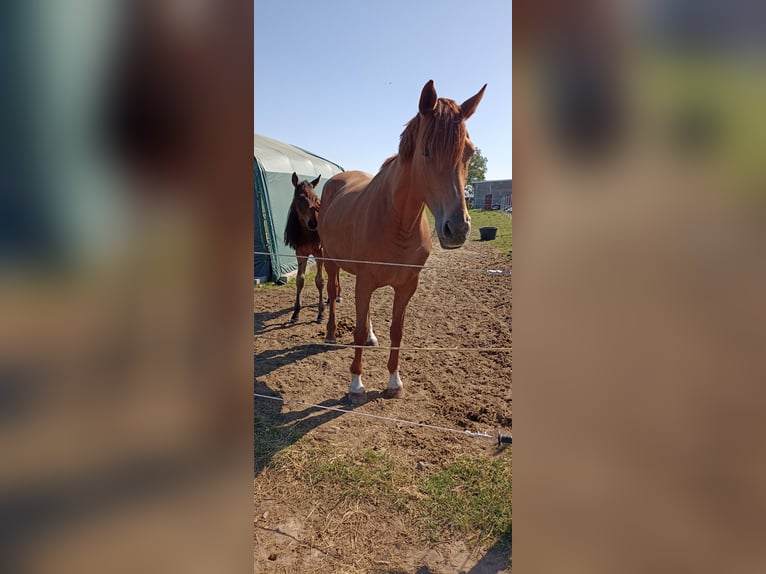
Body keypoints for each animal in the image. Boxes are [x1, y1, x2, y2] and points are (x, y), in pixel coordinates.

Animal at [284, 171, 328, 324]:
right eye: (299, 198)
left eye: (315, 198)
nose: (313, 223)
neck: (308, 233)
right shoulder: (300, 253)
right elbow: (300, 280)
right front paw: (296, 312)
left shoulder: (319, 253)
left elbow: (320, 281)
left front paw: (321, 313)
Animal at [318, 80, 486, 404]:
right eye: (426, 151)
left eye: (469, 152)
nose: (457, 228)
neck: (397, 221)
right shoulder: (366, 280)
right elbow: (357, 331)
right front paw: (356, 385)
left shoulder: (407, 285)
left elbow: (397, 331)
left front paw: (394, 382)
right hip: (331, 262)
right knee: (332, 293)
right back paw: (331, 334)